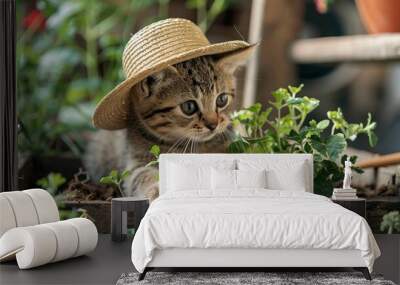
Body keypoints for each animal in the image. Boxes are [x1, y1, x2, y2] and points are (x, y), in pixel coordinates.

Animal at [84, 46, 253, 200]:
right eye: (189, 107)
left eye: (222, 100)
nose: (213, 125)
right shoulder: (136, 163)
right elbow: (142, 176)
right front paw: (157, 190)